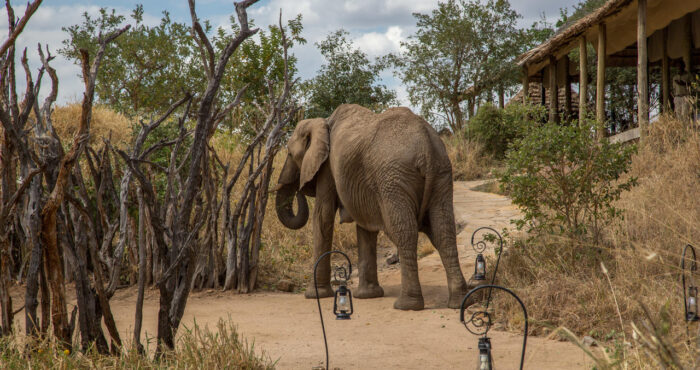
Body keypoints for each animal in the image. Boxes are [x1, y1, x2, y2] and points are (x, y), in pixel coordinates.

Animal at [276, 103, 468, 310]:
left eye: (289, 153)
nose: (298, 188)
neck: (322, 121)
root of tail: (427, 146)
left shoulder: (327, 167)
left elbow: (323, 216)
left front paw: (315, 295)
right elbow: (365, 225)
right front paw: (367, 296)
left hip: (394, 178)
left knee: (404, 232)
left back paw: (406, 305)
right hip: (441, 173)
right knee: (443, 231)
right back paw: (459, 302)